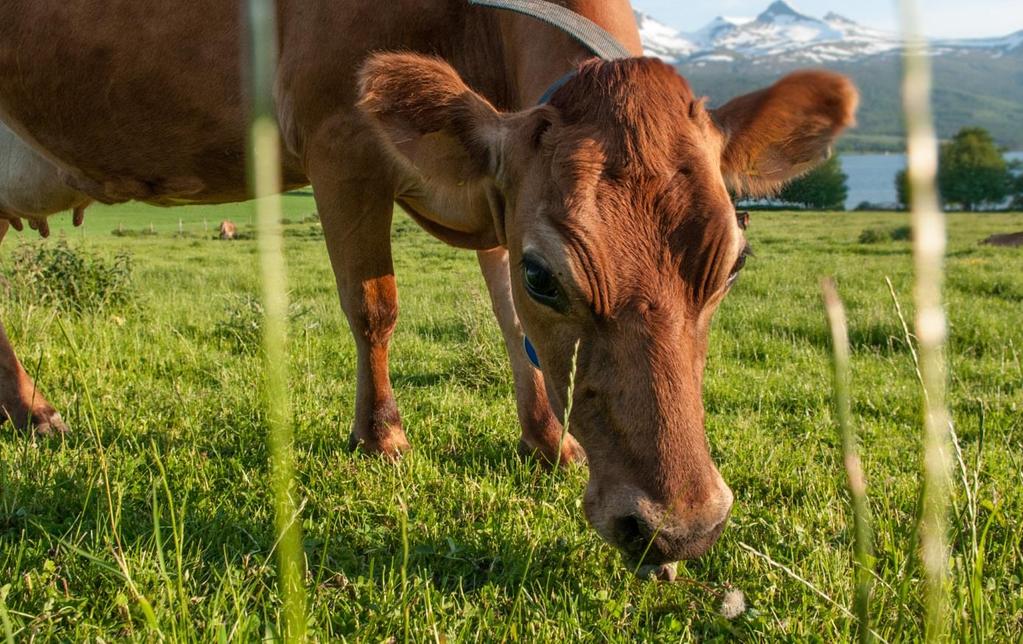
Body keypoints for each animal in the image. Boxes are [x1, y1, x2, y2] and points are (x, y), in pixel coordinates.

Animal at [0, 1, 855, 576]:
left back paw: (29, 411)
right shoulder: (340, 136)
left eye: (733, 264)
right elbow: (374, 304)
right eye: (546, 274)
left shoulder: (497, 185)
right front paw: (381, 436)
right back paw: (37, 414)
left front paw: (549, 443)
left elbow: (508, 324)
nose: (678, 530)